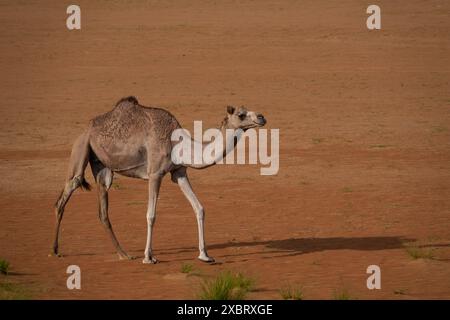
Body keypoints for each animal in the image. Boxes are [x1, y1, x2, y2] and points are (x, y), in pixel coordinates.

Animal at [51, 96, 266, 264]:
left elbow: (199, 208)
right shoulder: (155, 173)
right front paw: (149, 257)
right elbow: (151, 215)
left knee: (102, 209)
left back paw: (124, 254)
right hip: (81, 147)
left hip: (102, 167)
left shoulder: (179, 172)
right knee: (67, 191)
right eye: (241, 114)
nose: (262, 117)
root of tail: (87, 128)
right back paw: (54, 250)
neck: (178, 143)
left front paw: (205, 255)